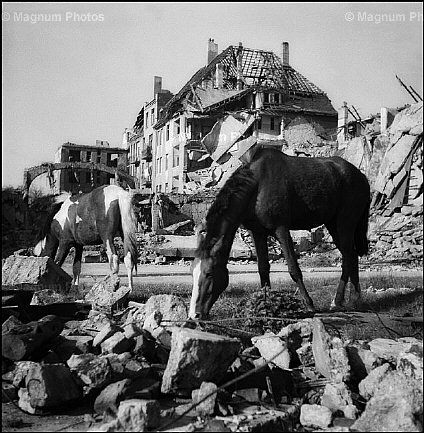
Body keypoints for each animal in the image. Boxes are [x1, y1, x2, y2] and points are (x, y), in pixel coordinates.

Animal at [189, 147, 372, 318]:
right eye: (192, 273)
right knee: (351, 257)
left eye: (209, 273)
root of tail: (362, 177)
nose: (194, 315)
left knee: (348, 257)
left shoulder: (281, 230)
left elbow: (294, 269)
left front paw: (309, 304)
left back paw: (346, 300)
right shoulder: (257, 232)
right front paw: (266, 304)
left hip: (344, 224)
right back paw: (349, 299)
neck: (257, 186)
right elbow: (263, 269)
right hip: (333, 225)